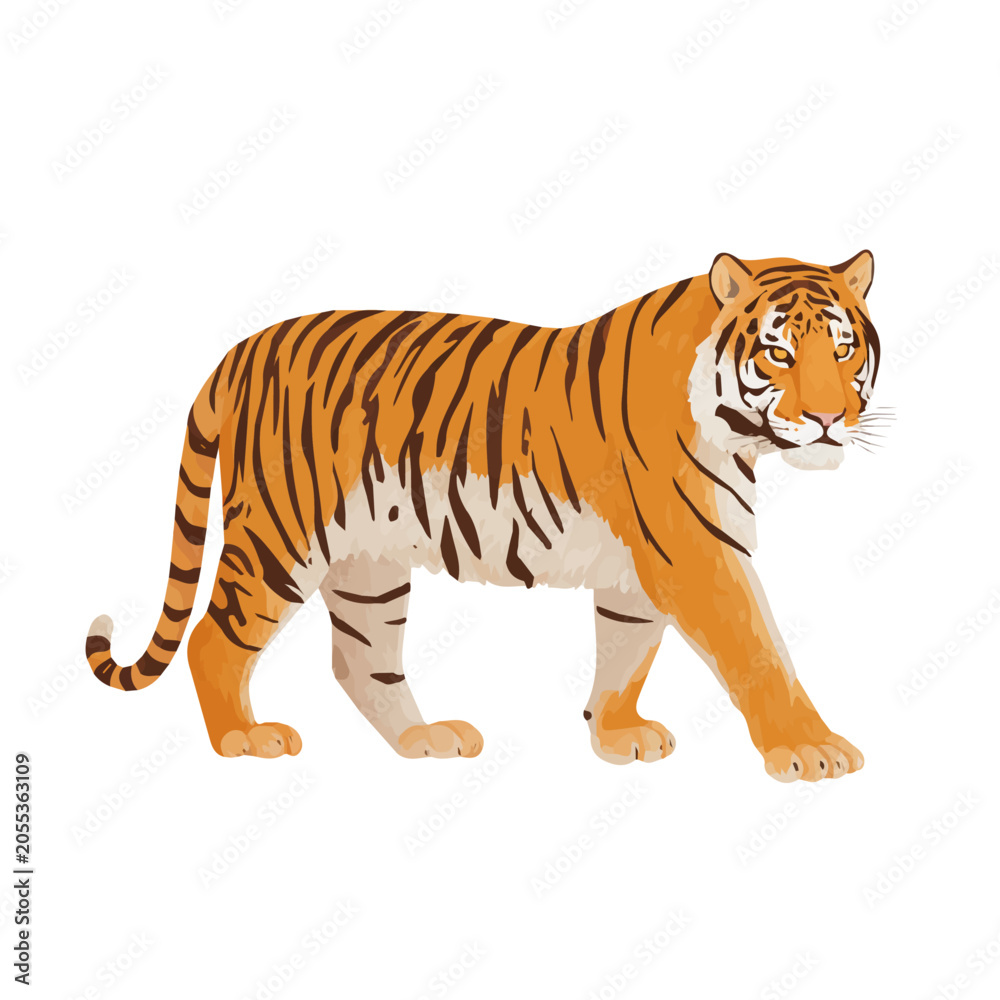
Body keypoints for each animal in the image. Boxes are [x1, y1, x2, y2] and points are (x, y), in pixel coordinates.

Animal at [86, 250, 883, 781]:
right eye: (777, 353)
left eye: (844, 349)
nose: (827, 419)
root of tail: (240, 348)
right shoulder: (696, 549)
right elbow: (758, 650)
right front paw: (810, 748)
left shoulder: (638, 570)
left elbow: (627, 652)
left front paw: (615, 734)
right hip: (280, 540)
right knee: (213, 640)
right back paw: (244, 741)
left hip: (368, 564)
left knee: (360, 660)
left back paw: (424, 739)